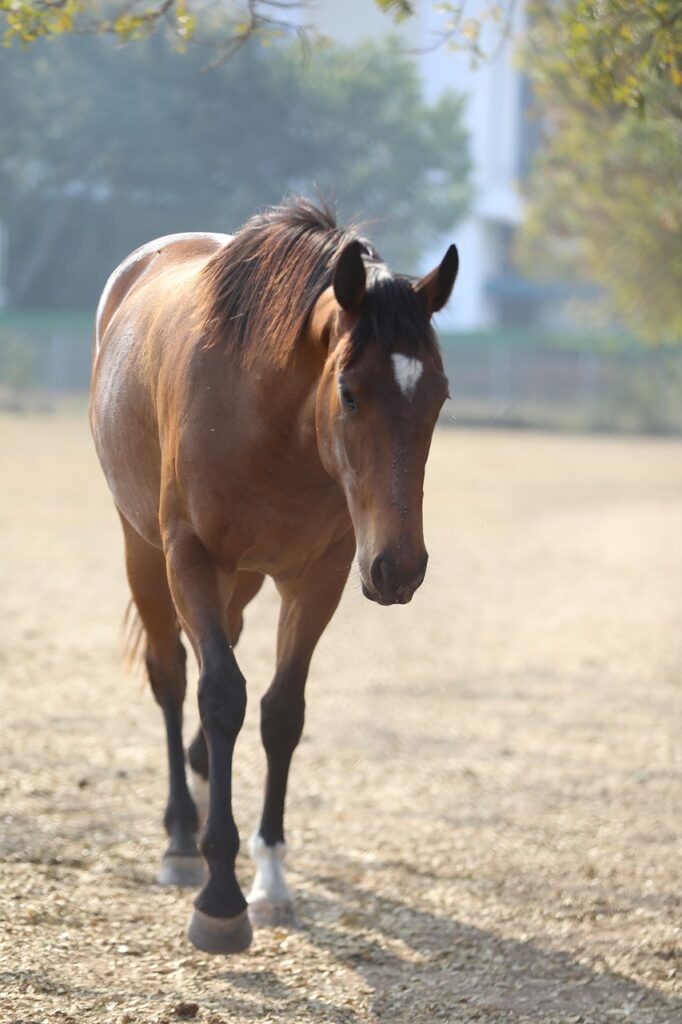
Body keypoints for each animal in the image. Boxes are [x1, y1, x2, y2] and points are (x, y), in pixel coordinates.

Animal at [90, 196, 457, 954]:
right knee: (173, 677)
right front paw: (220, 897)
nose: (400, 567)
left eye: (438, 396)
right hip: (145, 551)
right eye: (349, 392)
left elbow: (282, 711)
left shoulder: (320, 576)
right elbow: (221, 695)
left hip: (243, 580)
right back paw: (181, 836)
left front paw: (270, 879)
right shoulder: (190, 558)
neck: (267, 420)